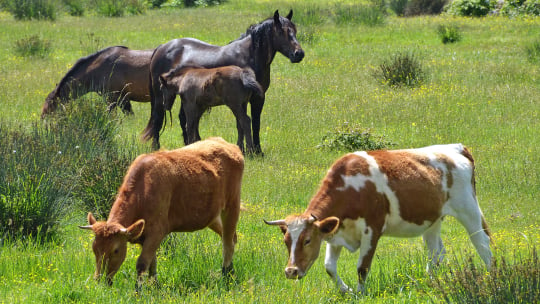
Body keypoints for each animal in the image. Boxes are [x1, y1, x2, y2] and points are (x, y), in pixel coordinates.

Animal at [78, 137, 243, 288]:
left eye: (116, 250)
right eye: (94, 249)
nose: (99, 281)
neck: (143, 189)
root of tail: (225, 143)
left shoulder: (157, 232)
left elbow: (142, 263)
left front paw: (138, 291)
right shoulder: (146, 236)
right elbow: (152, 262)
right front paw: (155, 286)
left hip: (232, 206)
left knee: (227, 242)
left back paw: (226, 275)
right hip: (212, 216)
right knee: (231, 237)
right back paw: (231, 272)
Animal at [142, 10, 304, 153]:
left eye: (295, 31)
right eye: (282, 32)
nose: (299, 54)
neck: (249, 56)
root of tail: (161, 48)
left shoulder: (257, 98)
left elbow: (254, 123)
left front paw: (255, 151)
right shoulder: (247, 99)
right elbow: (245, 123)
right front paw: (251, 150)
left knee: (184, 119)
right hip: (160, 98)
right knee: (158, 119)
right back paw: (157, 148)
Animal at [266, 144, 494, 294]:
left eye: (307, 240)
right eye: (286, 241)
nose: (291, 271)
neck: (352, 187)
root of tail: (456, 147)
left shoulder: (372, 230)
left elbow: (362, 268)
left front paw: (360, 294)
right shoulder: (335, 232)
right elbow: (329, 267)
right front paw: (347, 291)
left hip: (468, 210)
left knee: (482, 243)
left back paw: (492, 277)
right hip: (433, 220)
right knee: (436, 253)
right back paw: (432, 282)